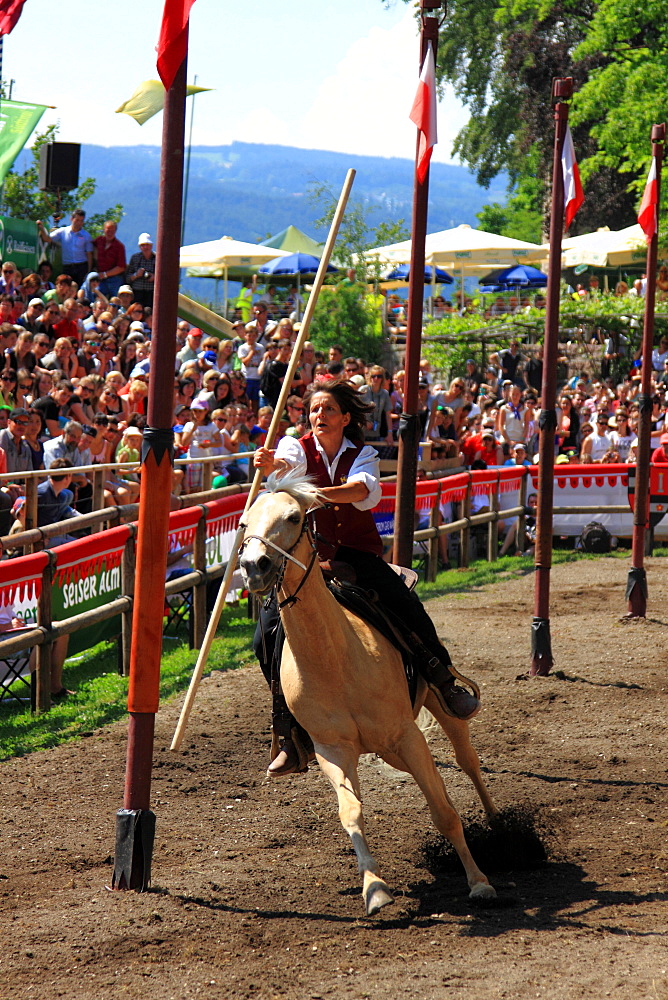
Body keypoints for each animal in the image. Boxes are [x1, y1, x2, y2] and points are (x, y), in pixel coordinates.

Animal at [239, 472, 496, 916]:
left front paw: (479, 882)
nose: (254, 566)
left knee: (467, 761)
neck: (335, 657)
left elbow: (444, 813)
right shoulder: (332, 750)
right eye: (244, 522)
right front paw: (375, 889)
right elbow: (352, 814)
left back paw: (498, 823)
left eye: (293, 516)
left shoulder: (407, 735)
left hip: (438, 708)